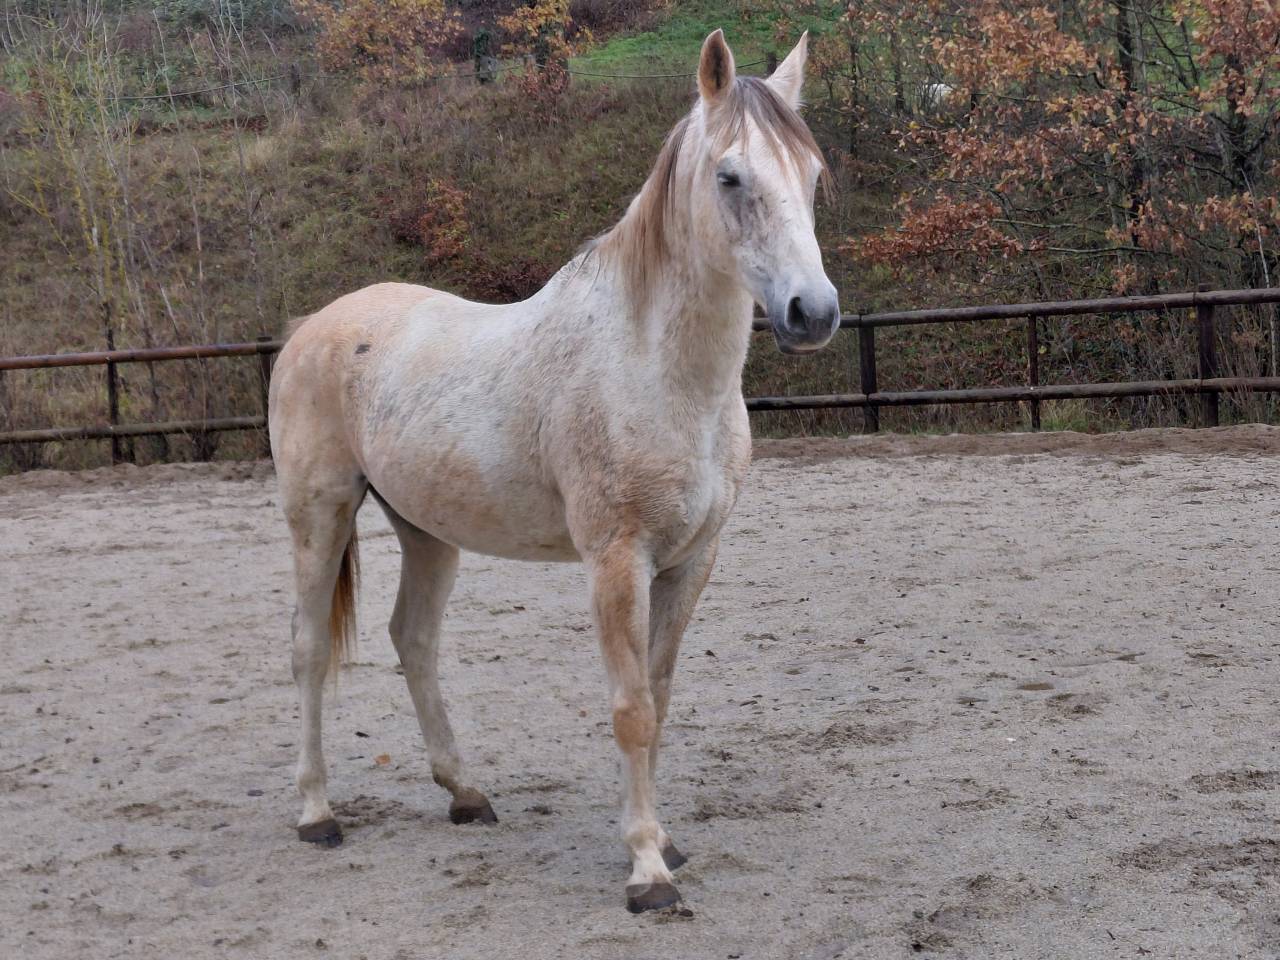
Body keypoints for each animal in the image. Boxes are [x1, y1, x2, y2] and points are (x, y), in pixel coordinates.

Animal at [268, 28, 840, 913]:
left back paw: (465, 794)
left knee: (414, 640)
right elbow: (631, 708)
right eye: (730, 176)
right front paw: (645, 872)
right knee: (307, 650)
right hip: (319, 516)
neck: (656, 368)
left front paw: (666, 843)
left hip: (427, 532)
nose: (813, 313)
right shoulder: (616, 561)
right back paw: (316, 813)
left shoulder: (691, 561)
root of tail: (309, 328)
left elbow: (661, 697)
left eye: (811, 174)